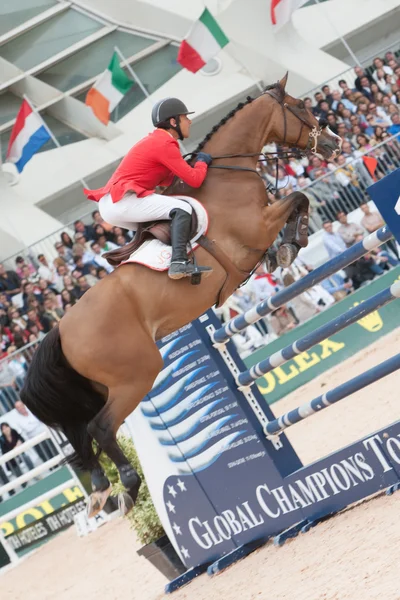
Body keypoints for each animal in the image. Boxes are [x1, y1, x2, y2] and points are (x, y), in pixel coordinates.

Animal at [21, 74, 340, 516]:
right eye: (301, 107)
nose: (334, 142)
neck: (226, 176)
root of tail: (59, 332)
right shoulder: (257, 227)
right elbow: (298, 198)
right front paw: (293, 244)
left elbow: (294, 201)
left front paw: (284, 249)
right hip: (137, 374)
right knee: (101, 428)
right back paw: (127, 486)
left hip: (96, 388)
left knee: (81, 435)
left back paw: (101, 490)